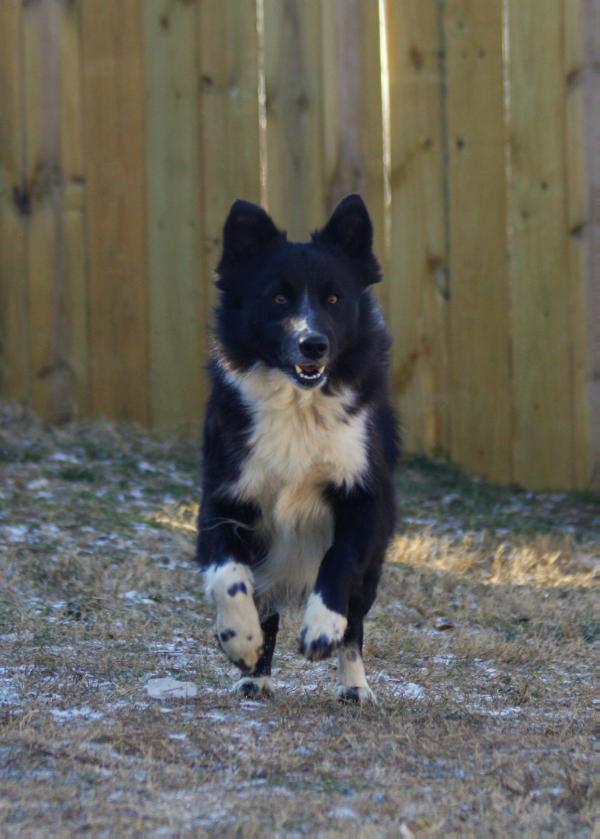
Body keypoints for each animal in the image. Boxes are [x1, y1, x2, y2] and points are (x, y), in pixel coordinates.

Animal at [196, 195, 398, 704]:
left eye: (334, 299)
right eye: (279, 298)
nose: (314, 344)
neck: (298, 403)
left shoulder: (367, 500)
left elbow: (338, 563)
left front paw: (321, 628)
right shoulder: (224, 495)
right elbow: (229, 576)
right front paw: (240, 640)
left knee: (357, 619)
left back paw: (354, 686)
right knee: (264, 599)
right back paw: (256, 674)